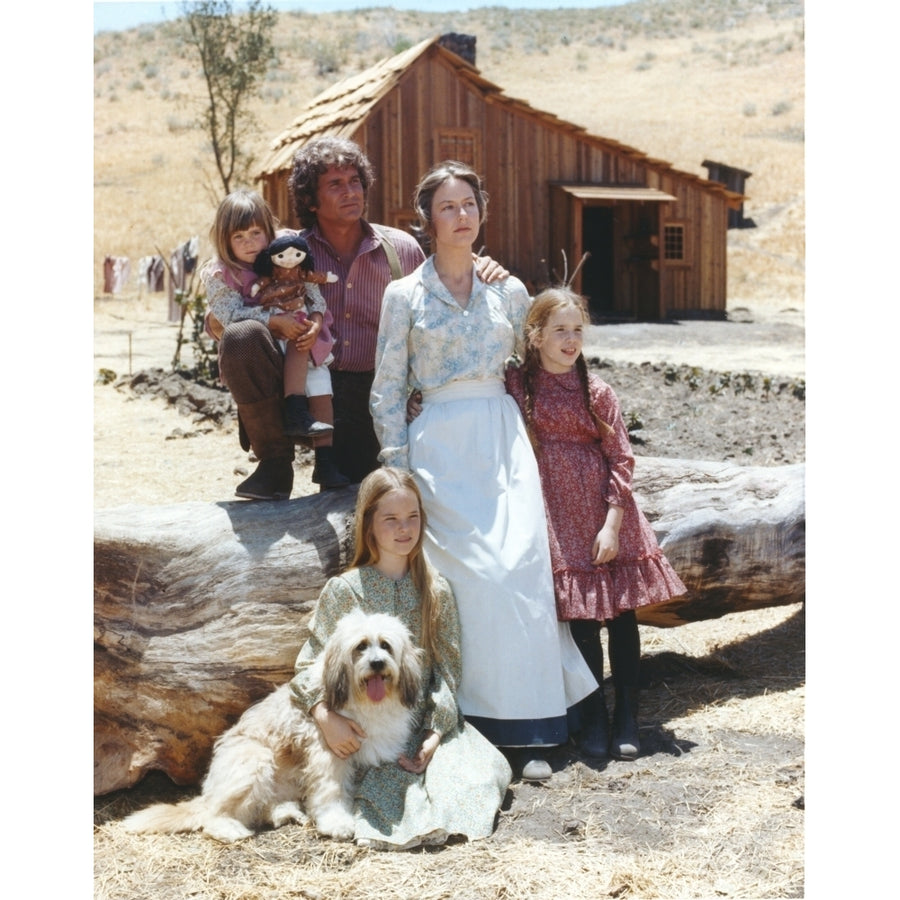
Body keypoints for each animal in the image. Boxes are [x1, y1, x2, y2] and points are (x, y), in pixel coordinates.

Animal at [122, 612, 426, 844]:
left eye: (385, 645)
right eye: (361, 646)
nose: (377, 664)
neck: (361, 699)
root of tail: (208, 792)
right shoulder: (328, 751)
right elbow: (330, 791)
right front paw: (336, 822)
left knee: (262, 808)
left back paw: (285, 812)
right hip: (253, 759)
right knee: (213, 816)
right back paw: (231, 829)